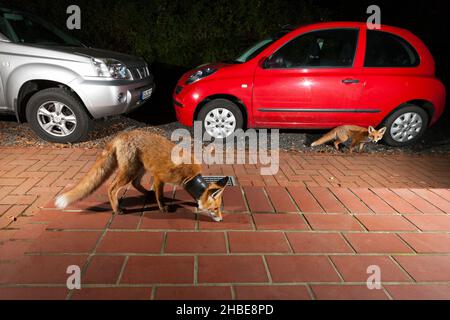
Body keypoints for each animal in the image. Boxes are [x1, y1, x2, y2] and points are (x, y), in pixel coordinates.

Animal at [55, 130, 229, 222]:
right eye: (215, 209)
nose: (221, 219)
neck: (190, 176)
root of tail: (121, 135)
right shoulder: (159, 177)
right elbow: (160, 196)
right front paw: (163, 208)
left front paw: (194, 201)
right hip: (130, 171)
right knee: (112, 188)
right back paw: (117, 209)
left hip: (140, 169)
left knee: (135, 184)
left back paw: (146, 193)